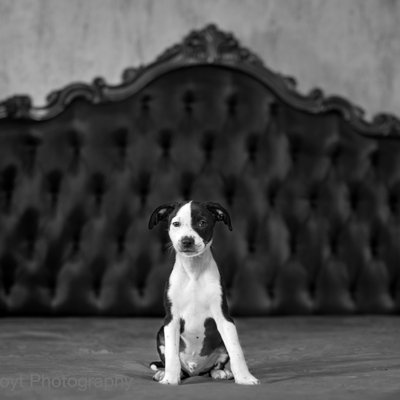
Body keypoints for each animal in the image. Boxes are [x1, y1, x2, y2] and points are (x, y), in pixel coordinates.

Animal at [148, 202, 260, 386]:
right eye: (176, 224)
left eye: (202, 223)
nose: (187, 241)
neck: (194, 271)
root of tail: (195, 371)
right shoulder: (171, 320)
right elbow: (172, 355)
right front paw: (170, 379)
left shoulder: (224, 318)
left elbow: (236, 350)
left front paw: (244, 377)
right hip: (160, 334)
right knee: (176, 364)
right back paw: (165, 373)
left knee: (215, 366)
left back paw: (220, 372)